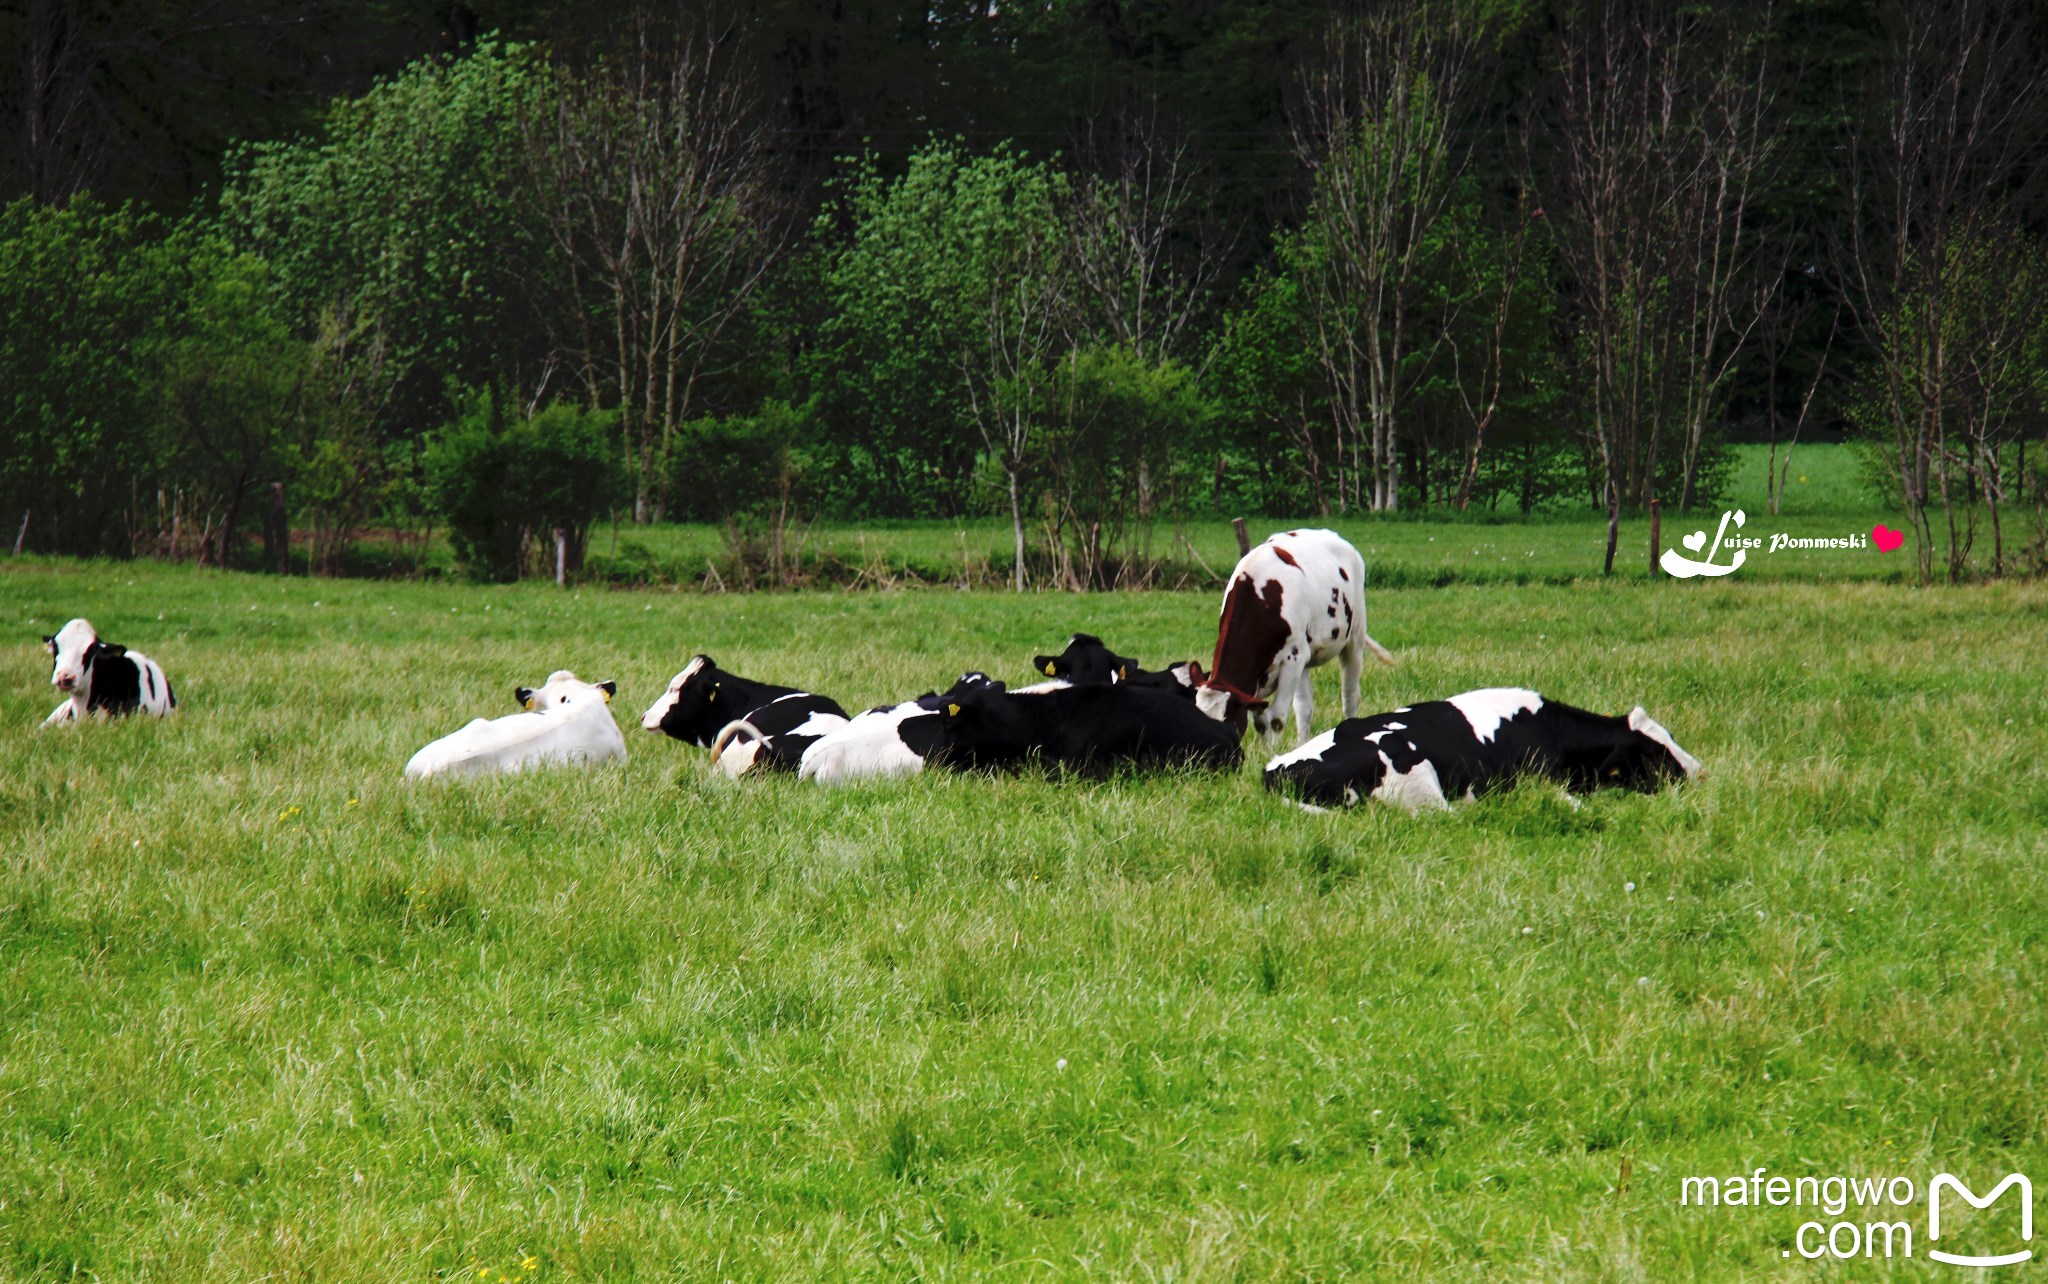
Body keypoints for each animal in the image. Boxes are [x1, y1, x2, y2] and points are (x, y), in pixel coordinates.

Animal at [1187, 528, 1392, 749]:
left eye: (1227, 721)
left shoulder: (1292, 659)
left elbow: (1276, 718)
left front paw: (1272, 753)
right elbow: (1261, 721)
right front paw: (1267, 751)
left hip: (1354, 637)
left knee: (1350, 697)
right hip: (1305, 657)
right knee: (1305, 707)